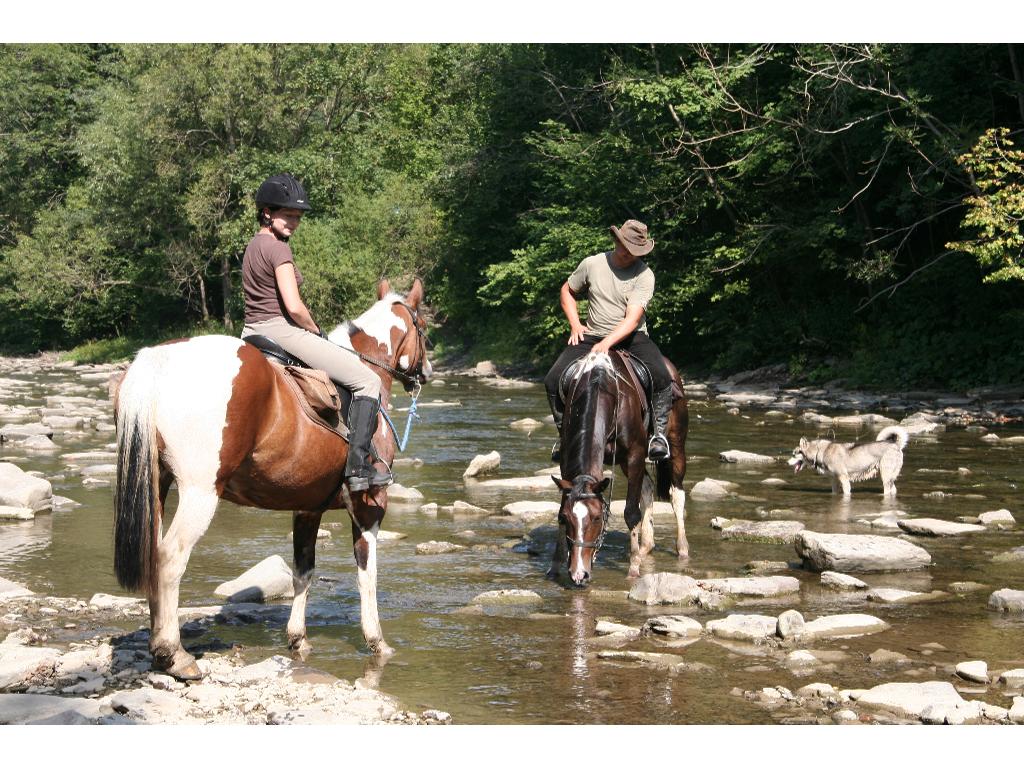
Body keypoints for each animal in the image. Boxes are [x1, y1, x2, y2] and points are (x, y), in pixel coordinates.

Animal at [112, 280, 428, 684]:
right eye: (423, 327)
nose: (426, 372)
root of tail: (158, 361)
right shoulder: (369, 506)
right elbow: (366, 573)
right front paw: (377, 641)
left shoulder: (307, 508)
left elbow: (303, 571)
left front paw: (298, 639)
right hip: (200, 493)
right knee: (170, 558)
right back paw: (174, 655)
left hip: (157, 485)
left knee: (153, 553)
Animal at [552, 352, 688, 585]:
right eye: (565, 518)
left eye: (597, 518)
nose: (579, 573)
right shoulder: (567, 463)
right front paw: (556, 565)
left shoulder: (635, 455)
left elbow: (631, 513)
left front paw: (633, 569)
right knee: (647, 487)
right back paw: (645, 547)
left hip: (676, 444)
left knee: (676, 494)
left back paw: (682, 549)